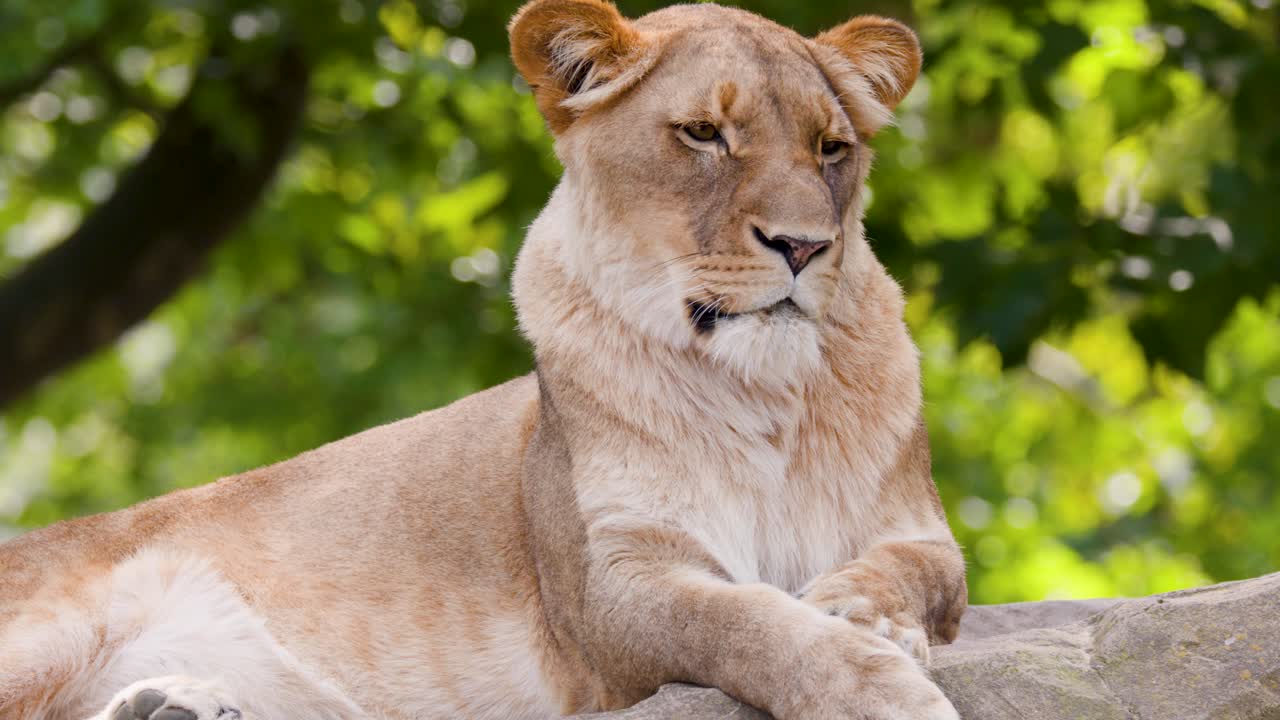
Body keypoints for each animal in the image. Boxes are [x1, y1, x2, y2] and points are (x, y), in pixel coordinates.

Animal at [0, 2, 967, 719]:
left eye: (832, 148)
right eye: (703, 134)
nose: (805, 246)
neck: (760, 390)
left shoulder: (917, 528)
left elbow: (918, 575)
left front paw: (861, 612)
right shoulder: (612, 589)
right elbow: (748, 623)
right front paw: (880, 690)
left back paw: (172, 702)